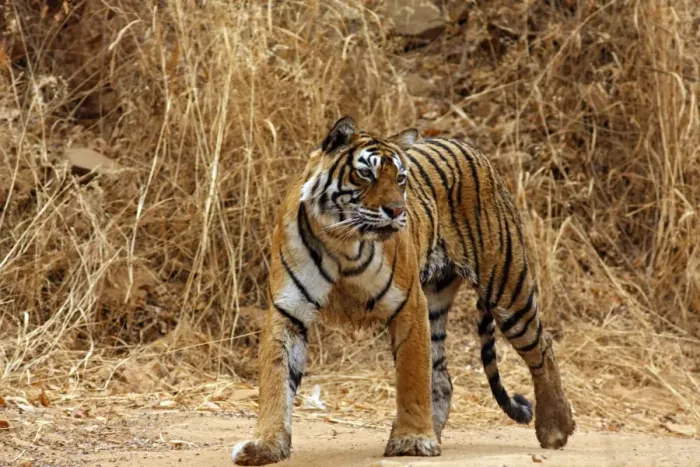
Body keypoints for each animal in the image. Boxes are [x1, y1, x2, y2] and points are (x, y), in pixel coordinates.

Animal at [232, 116, 575, 465]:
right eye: (365, 174)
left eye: (400, 178)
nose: (397, 211)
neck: (342, 242)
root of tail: (471, 148)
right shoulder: (289, 310)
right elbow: (276, 379)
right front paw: (265, 444)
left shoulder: (408, 303)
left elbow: (412, 376)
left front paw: (413, 439)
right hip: (437, 301)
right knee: (442, 379)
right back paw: (435, 432)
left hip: (506, 286)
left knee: (542, 346)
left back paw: (555, 428)